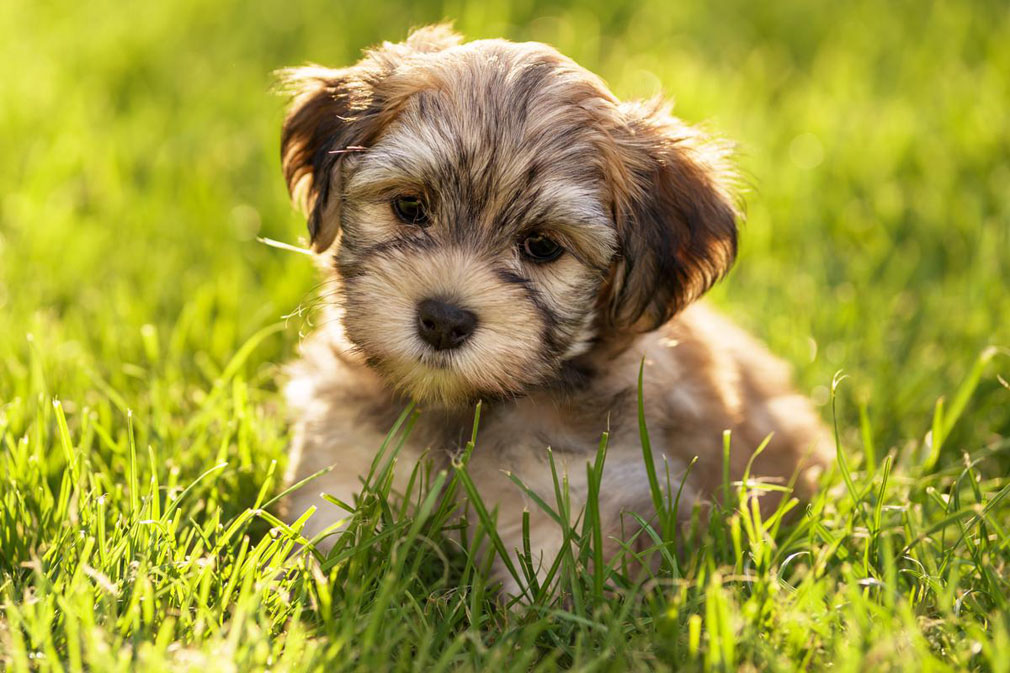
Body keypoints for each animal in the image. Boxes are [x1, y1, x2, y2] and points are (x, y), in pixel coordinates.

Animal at [280, 24, 832, 594]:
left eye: (542, 246)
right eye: (410, 207)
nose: (444, 321)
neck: (467, 408)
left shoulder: (583, 496)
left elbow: (552, 591)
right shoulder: (345, 451)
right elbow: (327, 534)